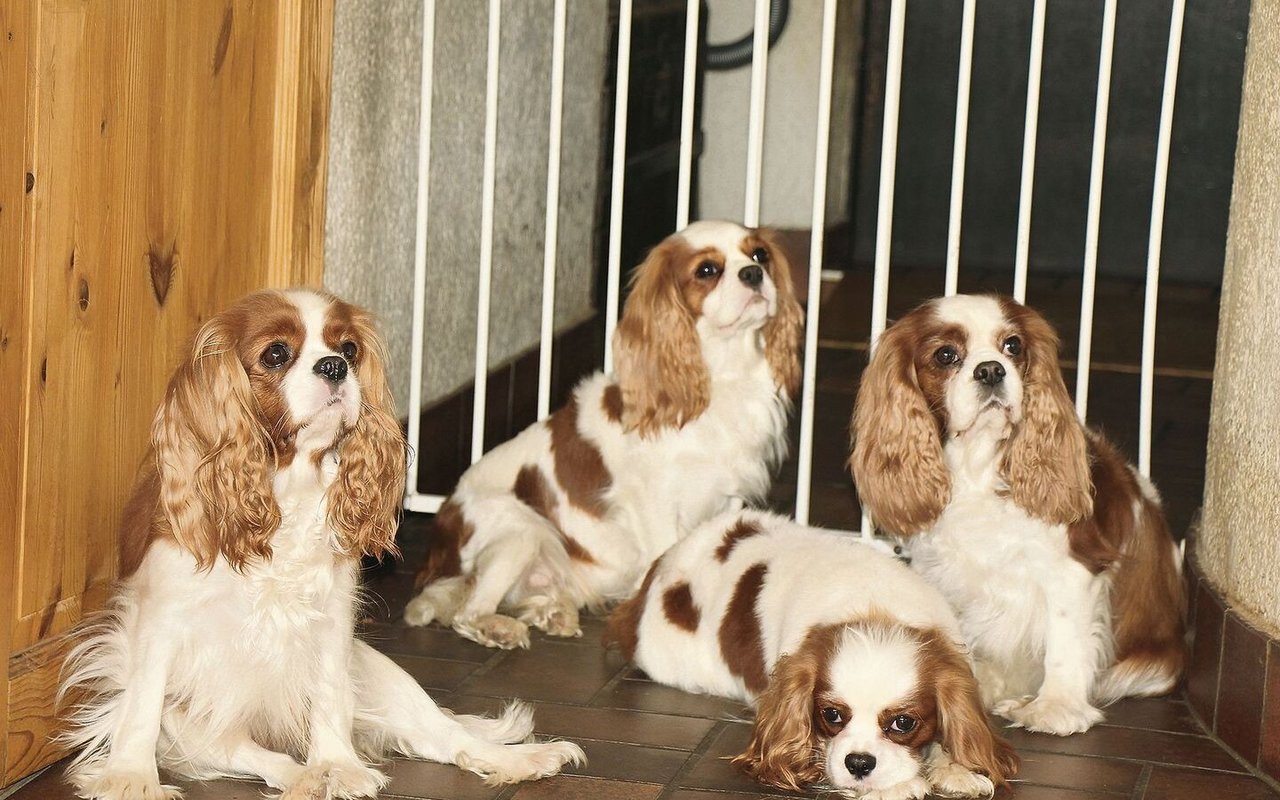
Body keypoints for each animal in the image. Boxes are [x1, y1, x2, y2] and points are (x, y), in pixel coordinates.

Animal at [404, 218, 798, 650]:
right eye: (707, 270)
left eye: (759, 254)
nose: (753, 273)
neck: (722, 375)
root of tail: (437, 549)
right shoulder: (654, 501)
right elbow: (667, 554)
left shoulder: (728, 496)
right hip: (521, 529)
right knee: (467, 613)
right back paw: (500, 628)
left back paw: (554, 613)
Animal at [604, 512, 1013, 798]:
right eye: (831, 715)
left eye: (903, 723)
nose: (859, 763)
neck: (876, 610)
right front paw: (897, 785)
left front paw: (959, 769)